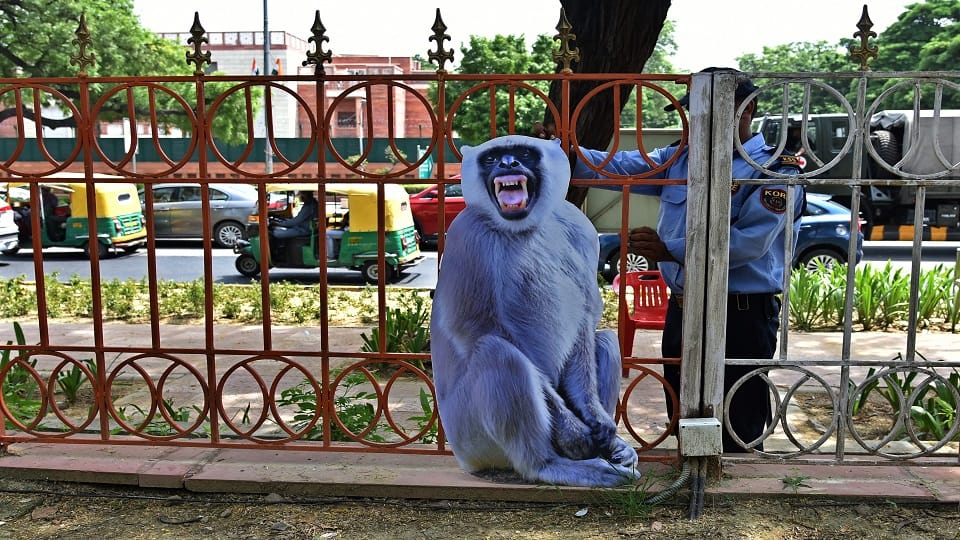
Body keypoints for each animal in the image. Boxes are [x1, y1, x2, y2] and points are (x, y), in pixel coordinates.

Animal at [430, 135, 639, 487]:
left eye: (524, 153)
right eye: (493, 158)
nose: (508, 163)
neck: (521, 228)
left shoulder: (579, 228)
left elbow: (585, 318)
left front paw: (597, 420)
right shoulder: (467, 233)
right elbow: (475, 328)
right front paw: (572, 432)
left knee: (606, 340)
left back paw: (614, 448)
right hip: (469, 435)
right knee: (499, 353)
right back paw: (547, 464)